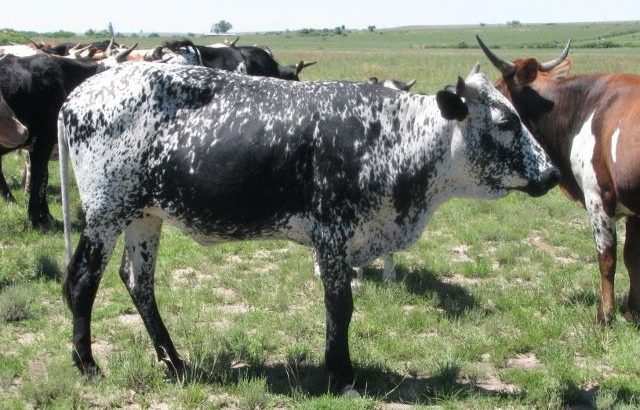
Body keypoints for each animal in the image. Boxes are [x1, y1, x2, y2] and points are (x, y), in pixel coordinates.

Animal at [57, 61, 559, 395]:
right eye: (506, 121)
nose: (553, 173)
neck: (388, 137)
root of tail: (80, 92)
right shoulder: (332, 235)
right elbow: (341, 306)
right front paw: (342, 374)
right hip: (105, 213)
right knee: (82, 281)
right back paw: (87, 364)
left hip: (144, 217)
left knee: (138, 282)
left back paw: (174, 361)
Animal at [477, 35, 640, 325]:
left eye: (497, 89)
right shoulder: (632, 209)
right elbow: (632, 258)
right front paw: (631, 312)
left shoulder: (599, 196)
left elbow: (607, 259)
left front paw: (604, 315)